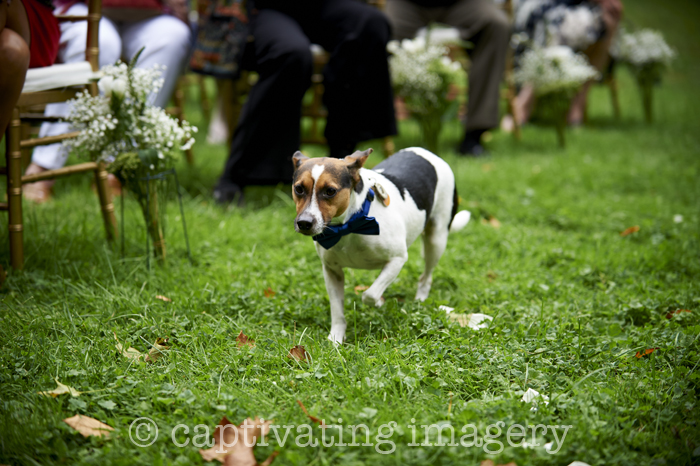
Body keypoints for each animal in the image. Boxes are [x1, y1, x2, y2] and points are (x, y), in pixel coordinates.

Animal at [290, 147, 470, 344]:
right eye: (299, 189)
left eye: (330, 191)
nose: (304, 223)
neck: (350, 224)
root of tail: (427, 152)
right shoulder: (332, 271)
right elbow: (337, 310)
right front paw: (336, 337)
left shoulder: (397, 259)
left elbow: (369, 295)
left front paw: (378, 302)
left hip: (436, 240)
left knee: (426, 276)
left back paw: (420, 299)